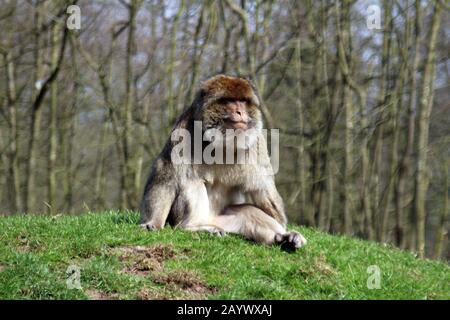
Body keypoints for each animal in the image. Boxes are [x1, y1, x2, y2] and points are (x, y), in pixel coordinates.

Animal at [142, 75, 306, 252]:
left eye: (242, 101)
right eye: (230, 101)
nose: (240, 112)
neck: (222, 142)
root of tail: (211, 220)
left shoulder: (256, 142)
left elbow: (262, 187)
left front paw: (284, 229)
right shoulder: (183, 131)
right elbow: (166, 176)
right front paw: (153, 223)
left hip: (227, 222)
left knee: (247, 211)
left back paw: (283, 238)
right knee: (193, 181)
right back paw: (193, 227)